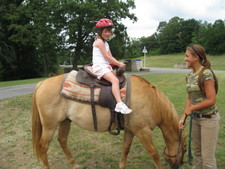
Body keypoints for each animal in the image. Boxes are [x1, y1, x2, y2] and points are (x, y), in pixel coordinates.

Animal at [31, 73, 186, 168]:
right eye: (184, 148)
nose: (179, 165)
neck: (152, 101)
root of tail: (42, 83)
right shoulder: (143, 131)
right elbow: (154, 154)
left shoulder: (131, 131)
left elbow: (125, 149)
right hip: (49, 126)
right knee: (43, 147)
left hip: (65, 121)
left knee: (62, 140)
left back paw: (74, 164)